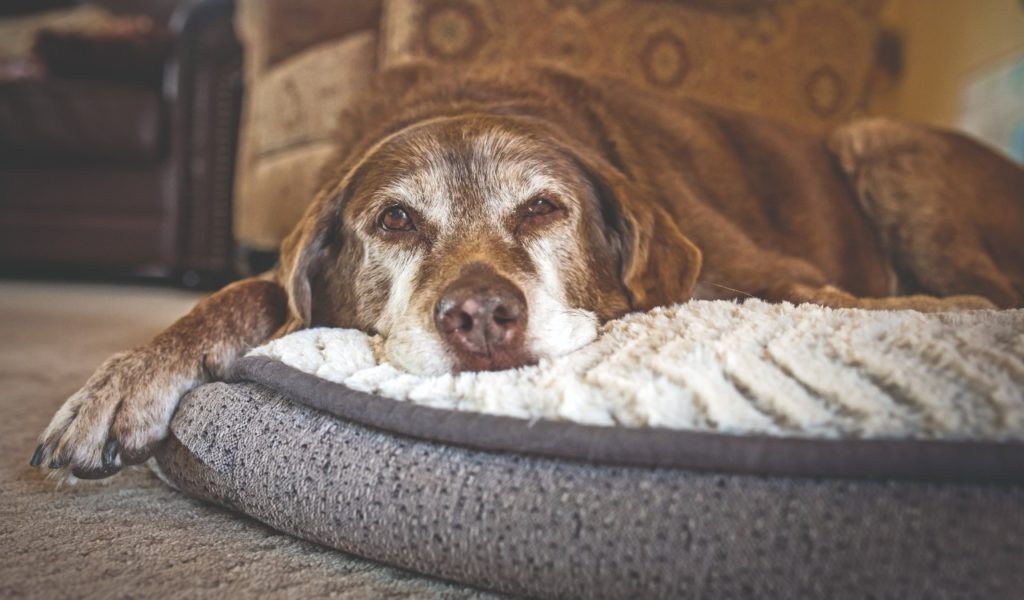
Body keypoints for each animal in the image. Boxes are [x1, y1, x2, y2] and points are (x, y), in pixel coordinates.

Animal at [29, 65, 1024, 477]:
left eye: (545, 208)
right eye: (396, 220)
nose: (480, 316)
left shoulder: (768, 269)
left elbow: (828, 299)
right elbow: (253, 291)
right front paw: (130, 377)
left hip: (883, 143)